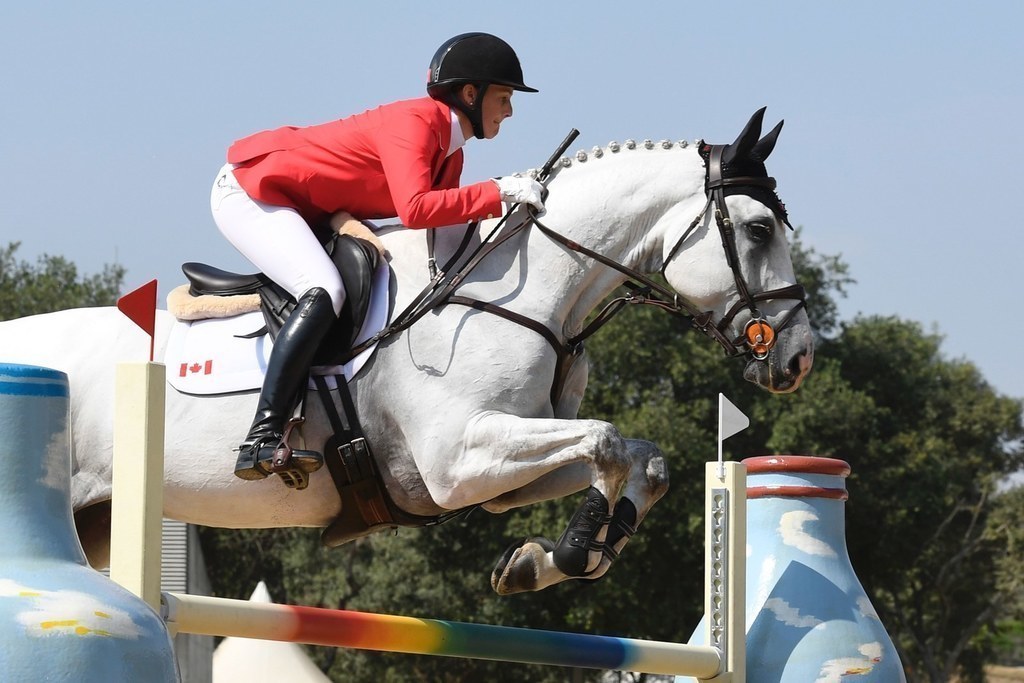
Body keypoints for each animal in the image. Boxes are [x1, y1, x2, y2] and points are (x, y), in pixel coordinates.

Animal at [2, 107, 815, 593]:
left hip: (97, 521)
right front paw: (574, 549)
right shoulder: (457, 459)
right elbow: (610, 442)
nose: (799, 357)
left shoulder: (496, 469)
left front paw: (547, 559)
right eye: (756, 229)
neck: (525, 290)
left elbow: (642, 458)